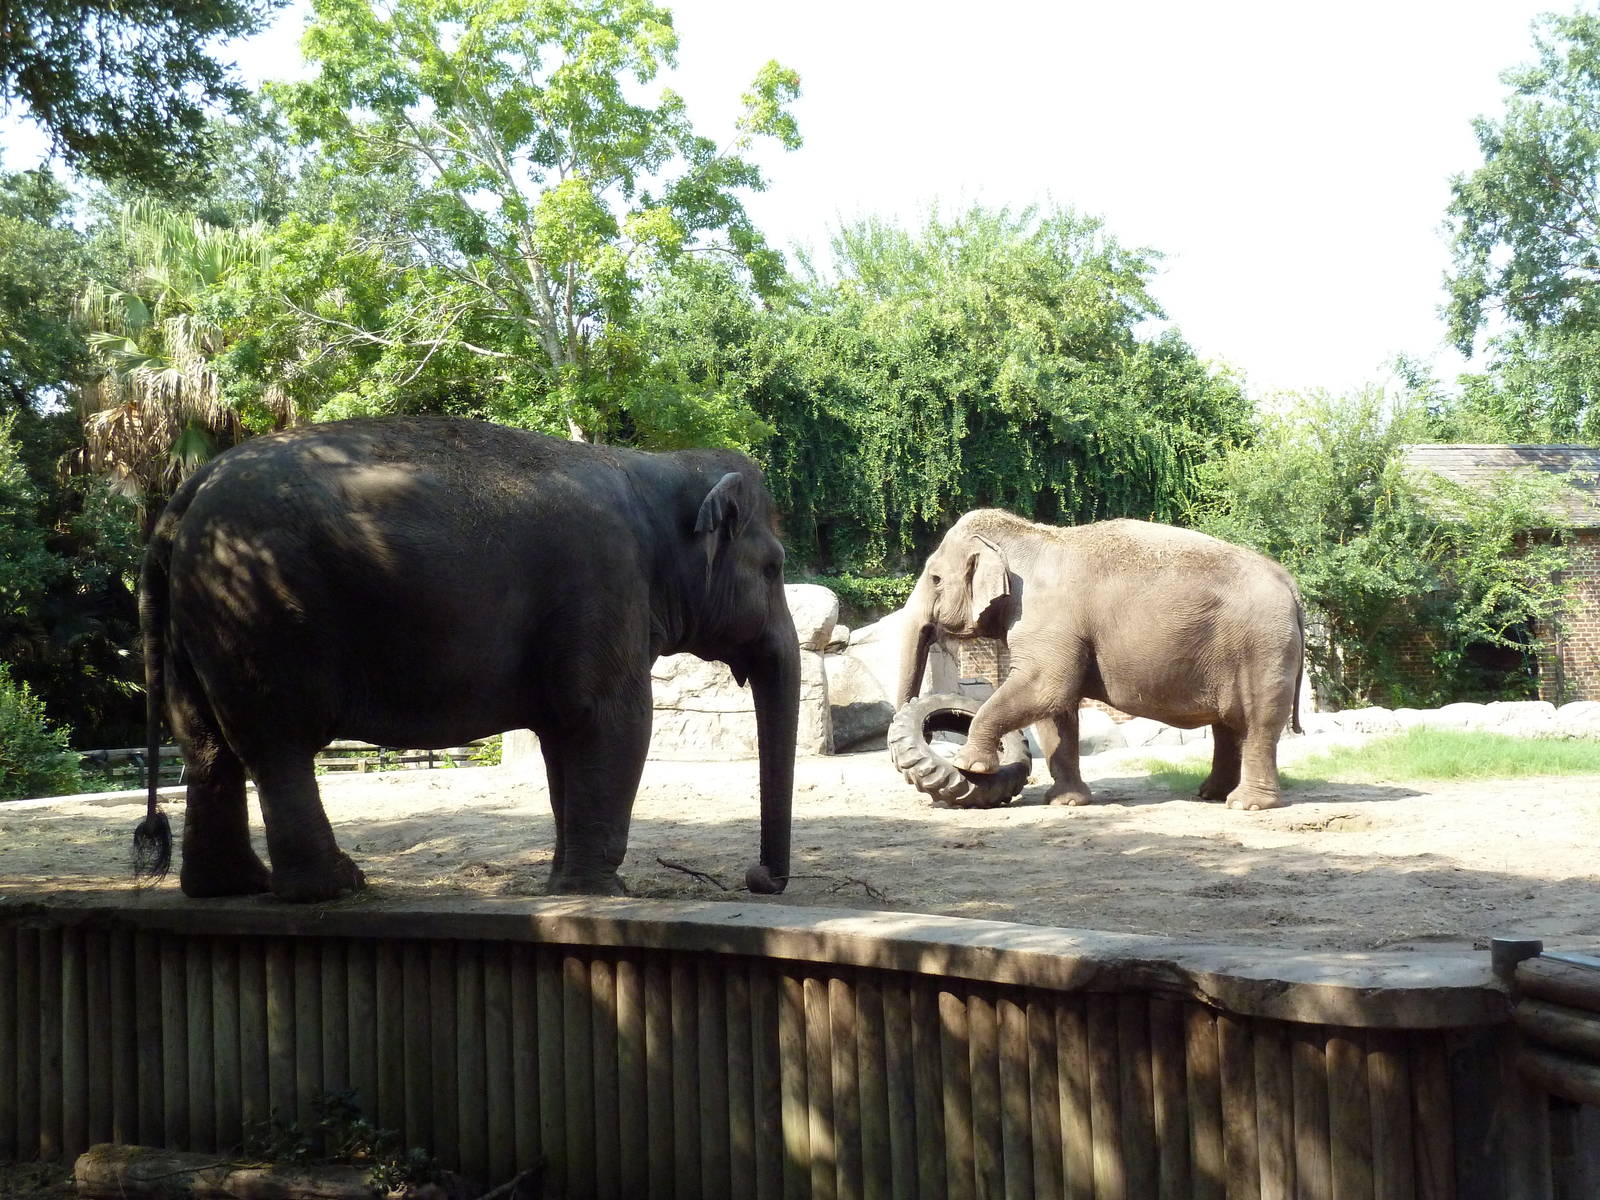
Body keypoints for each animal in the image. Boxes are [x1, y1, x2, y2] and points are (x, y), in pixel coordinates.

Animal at [134, 415, 798, 901]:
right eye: (774, 568)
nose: (759, 879)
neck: (655, 466)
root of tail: (186, 495)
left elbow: (565, 734)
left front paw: (564, 887)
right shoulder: (606, 582)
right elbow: (613, 720)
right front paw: (601, 893)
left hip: (199, 620)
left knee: (205, 745)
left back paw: (230, 887)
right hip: (260, 613)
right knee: (277, 744)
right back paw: (334, 887)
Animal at [897, 509, 1305, 811]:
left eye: (935, 579)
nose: (931, 728)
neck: (1026, 537)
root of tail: (1289, 583)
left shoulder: (1048, 620)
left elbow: (1045, 687)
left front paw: (968, 766)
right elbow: (1055, 710)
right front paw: (1066, 803)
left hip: (1264, 646)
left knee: (1260, 718)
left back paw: (1246, 805)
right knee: (1229, 724)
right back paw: (1211, 795)